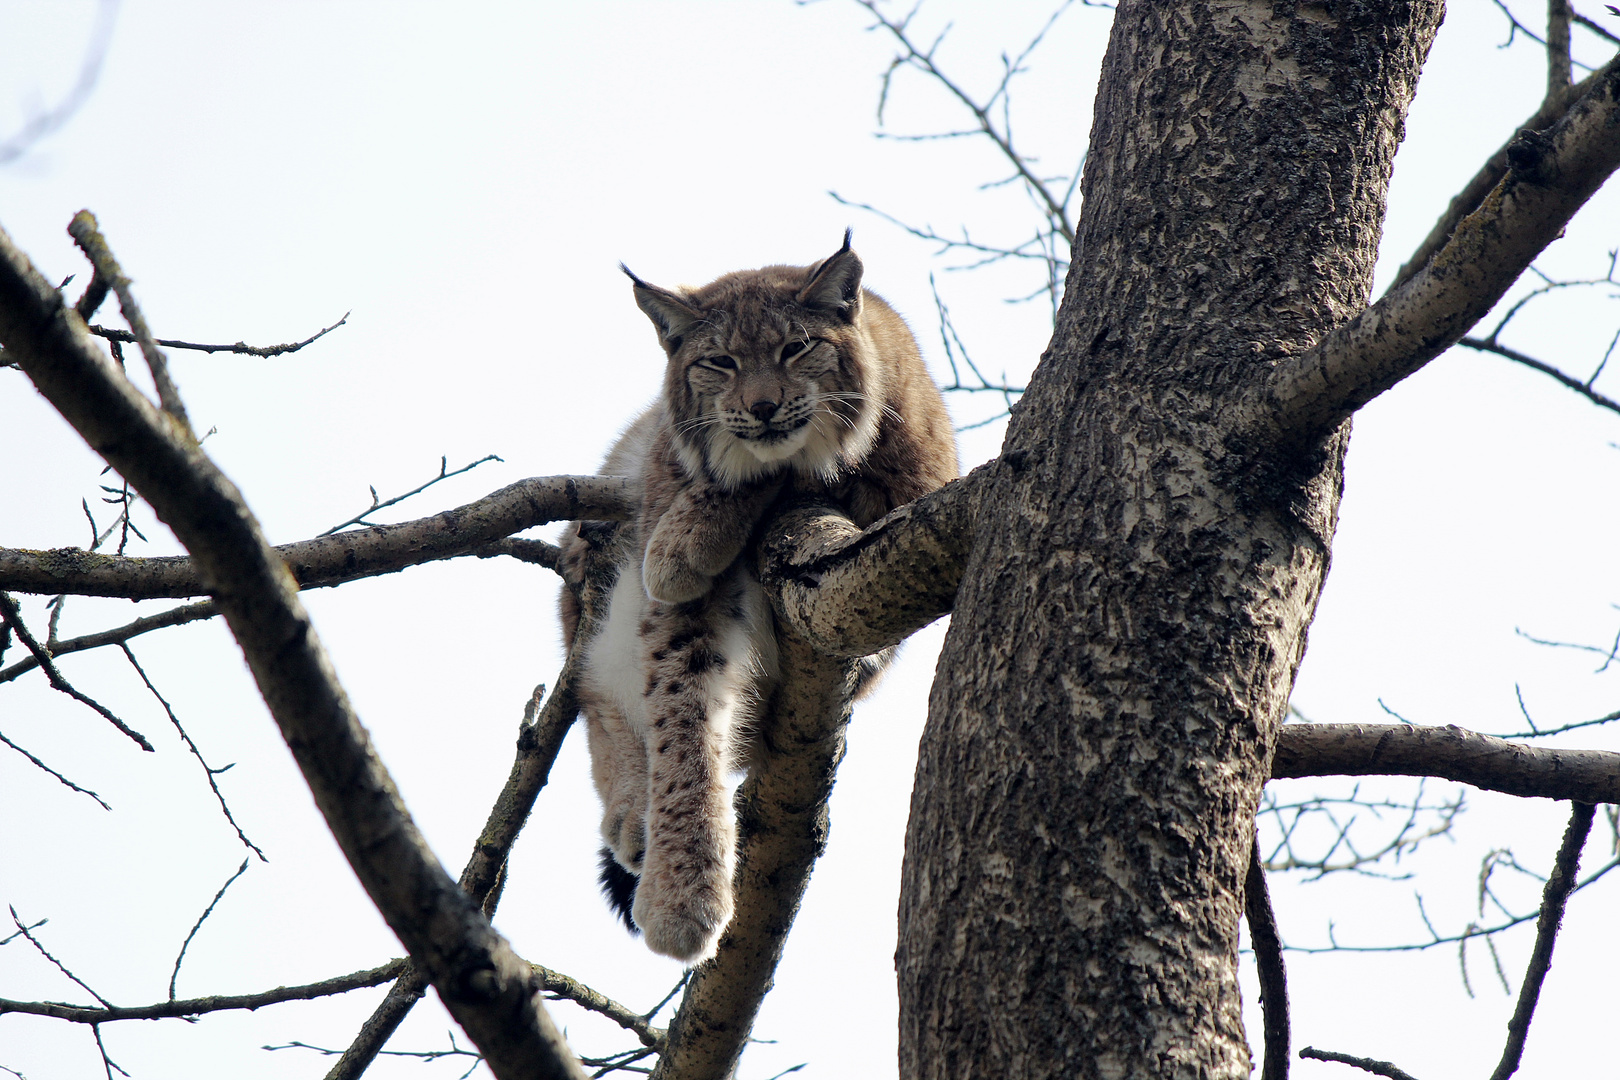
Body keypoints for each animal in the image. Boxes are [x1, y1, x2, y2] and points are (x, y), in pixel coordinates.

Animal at [560, 234, 952, 965]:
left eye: (797, 348)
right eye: (720, 361)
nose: (765, 407)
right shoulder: (673, 602)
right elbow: (682, 726)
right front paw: (682, 896)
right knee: (597, 695)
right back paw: (632, 817)